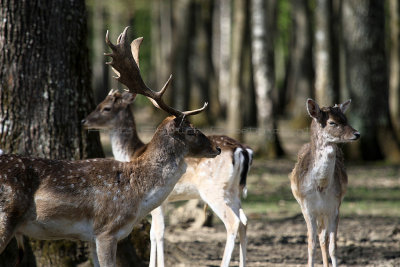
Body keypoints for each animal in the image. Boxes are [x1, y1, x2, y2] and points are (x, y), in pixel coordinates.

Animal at [0, 27, 222, 267]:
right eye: (191, 130)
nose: (216, 149)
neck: (137, 197)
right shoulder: (106, 230)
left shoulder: (91, 237)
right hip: (5, 217)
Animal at [83, 29, 255, 267]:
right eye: (99, 104)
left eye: (106, 108)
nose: (84, 121)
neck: (133, 153)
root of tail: (242, 150)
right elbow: (156, 232)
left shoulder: (157, 201)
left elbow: (157, 233)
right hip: (234, 189)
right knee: (245, 221)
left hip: (213, 189)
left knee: (233, 222)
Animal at [290, 99, 360, 267]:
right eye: (332, 122)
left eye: (345, 119)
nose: (357, 134)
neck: (321, 187)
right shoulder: (307, 208)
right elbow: (311, 244)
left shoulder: (335, 207)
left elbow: (333, 246)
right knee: (319, 237)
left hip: (325, 212)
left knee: (323, 237)